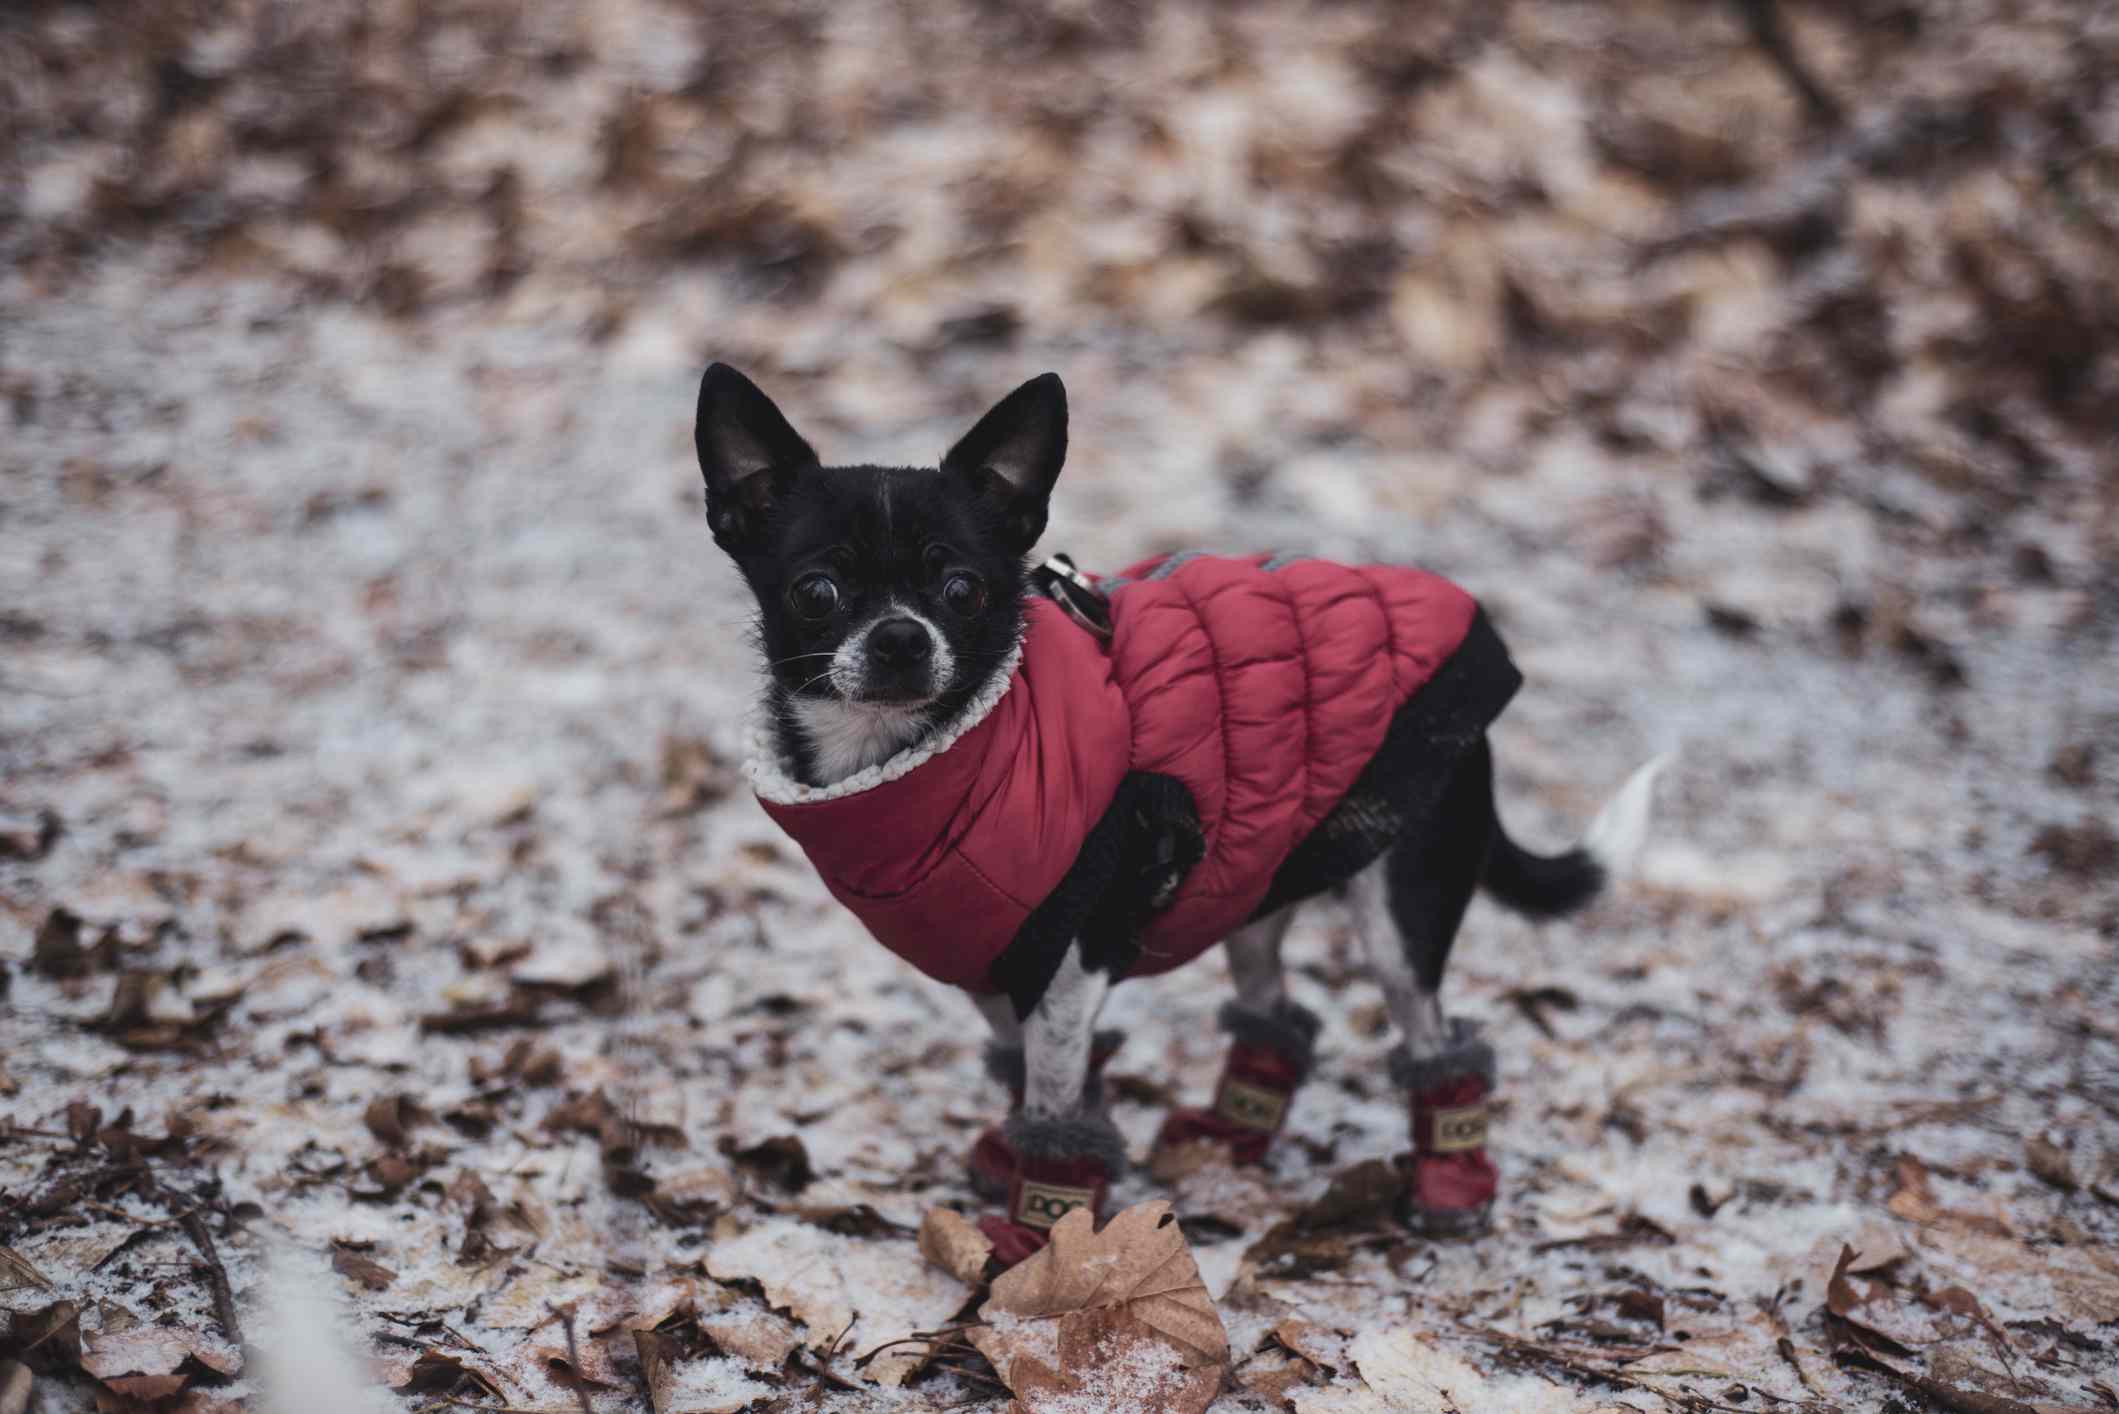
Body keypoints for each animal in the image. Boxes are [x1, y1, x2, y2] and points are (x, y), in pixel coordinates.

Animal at [695, 360, 1652, 1263]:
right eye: (816, 591)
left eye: (964, 589)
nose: (900, 636)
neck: (927, 762)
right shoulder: (993, 957)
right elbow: (1040, 1074)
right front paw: (1024, 1173)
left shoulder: (1064, 958)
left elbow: (1054, 1096)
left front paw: (1037, 1236)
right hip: (1253, 882)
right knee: (1274, 1009)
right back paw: (1229, 1137)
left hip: (1400, 911)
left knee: (1428, 1029)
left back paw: (1449, 1180)